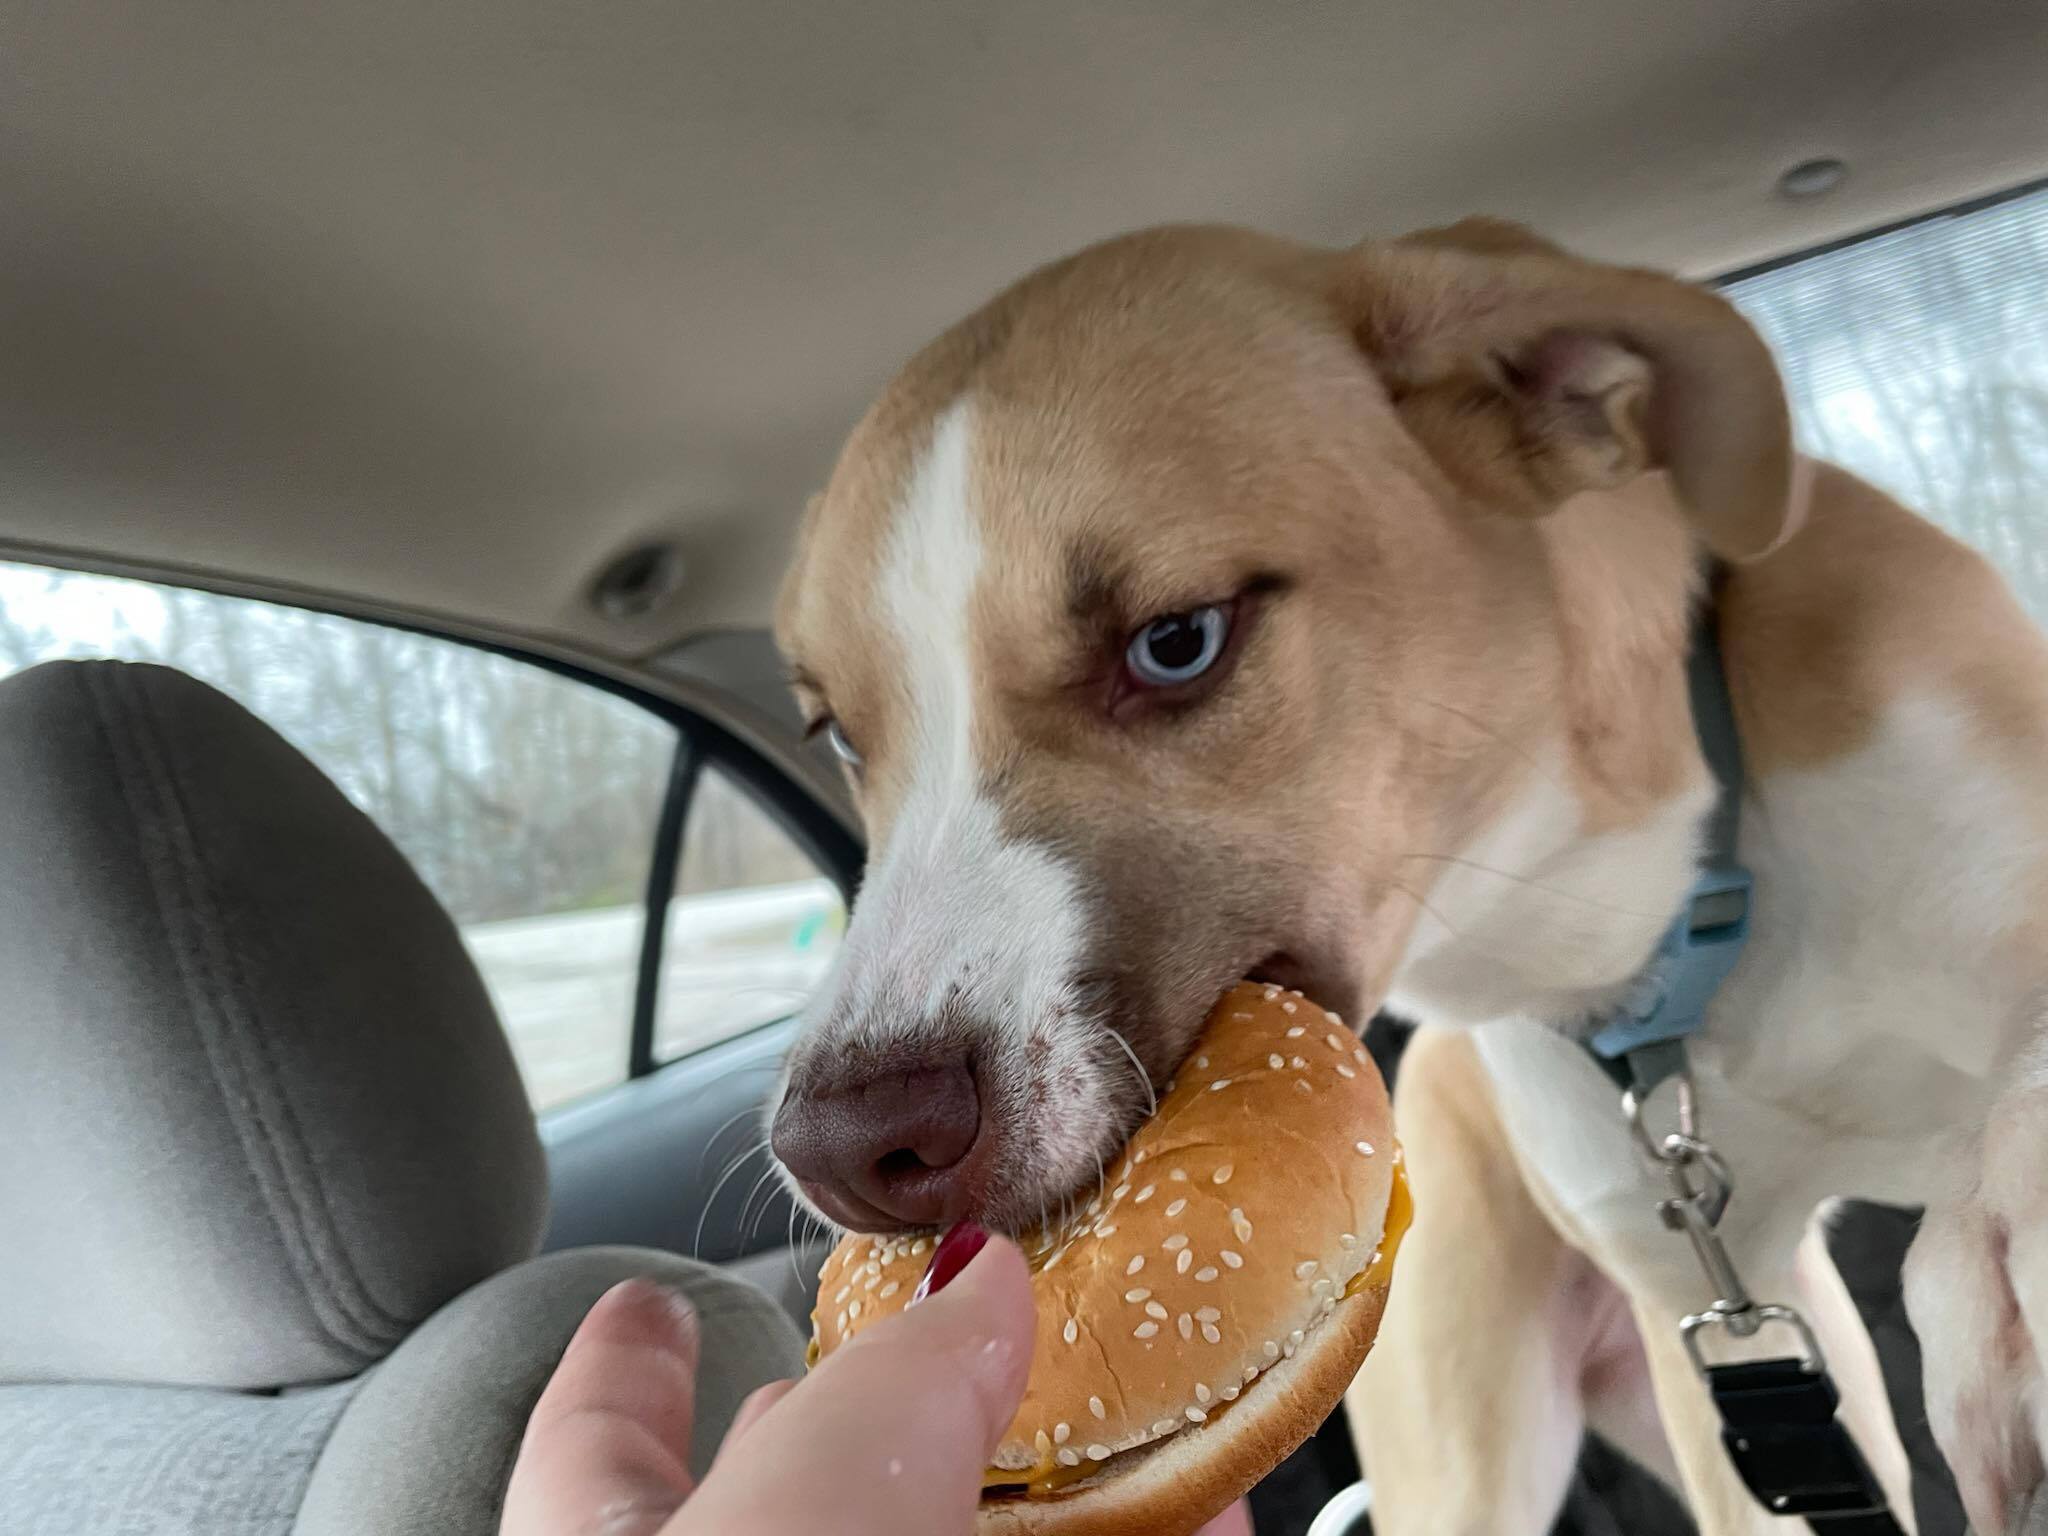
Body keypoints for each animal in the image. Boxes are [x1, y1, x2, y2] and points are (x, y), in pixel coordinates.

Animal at [770, 219, 2048, 1536]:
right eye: (836, 733)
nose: (845, 1153)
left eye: (1175, 639)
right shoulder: (1721, 1321)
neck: (1671, 918)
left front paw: (1997, 1242)